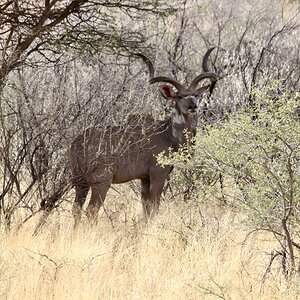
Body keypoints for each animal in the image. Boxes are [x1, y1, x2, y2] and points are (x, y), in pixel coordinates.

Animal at [70, 48, 220, 224]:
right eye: (179, 96)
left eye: (196, 94)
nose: (192, 107)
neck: (167, 134)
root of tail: (77, 144)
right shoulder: (158, 174)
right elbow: (154, 208)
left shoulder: (144, 179)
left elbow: (146, 209)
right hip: (102, 181)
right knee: (91, 210)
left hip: (80, 182)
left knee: (76, 209)